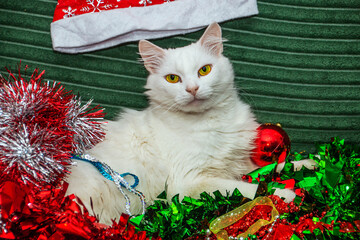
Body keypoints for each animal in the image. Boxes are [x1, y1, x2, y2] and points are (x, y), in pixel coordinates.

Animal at [67, 23, 298, 224]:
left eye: (204, 70)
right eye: (172, 78)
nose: (192, 89)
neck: (211, 122)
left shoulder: (240, 162)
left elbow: (278, 165)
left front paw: (301, 165)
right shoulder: (188, 182)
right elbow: (247, 188)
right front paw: (283, 193)